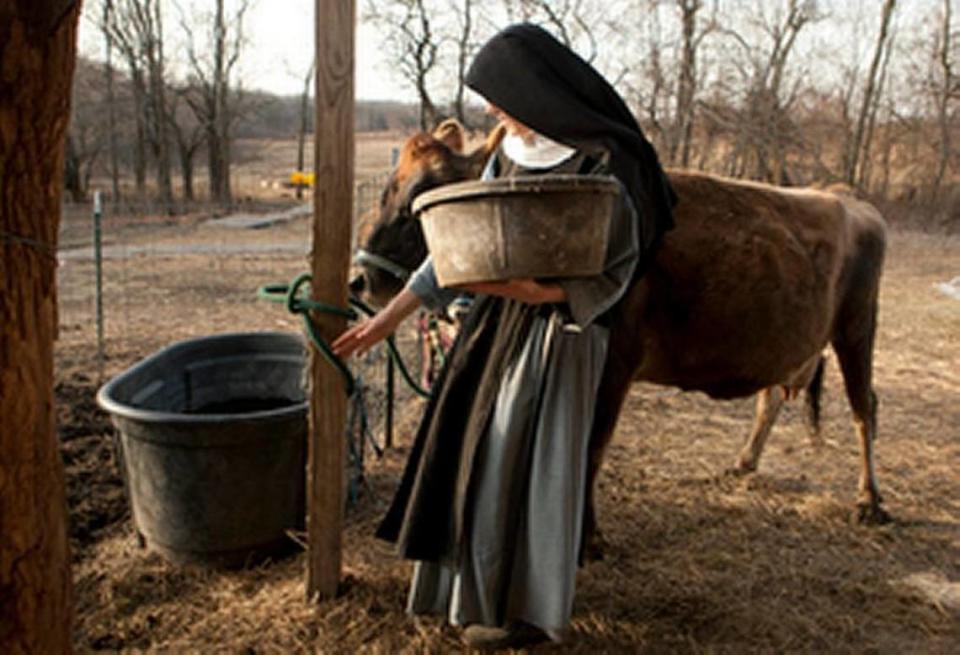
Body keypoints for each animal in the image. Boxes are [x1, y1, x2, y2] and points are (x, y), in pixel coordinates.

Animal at [356, 123, 888, 560]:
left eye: (421, 199)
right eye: (387, 191)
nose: (361, 280)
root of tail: (848, 198)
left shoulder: (616, 361)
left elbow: (593, 446)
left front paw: (588, 539)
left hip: (857, 326)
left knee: (864, 408)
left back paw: (869, 501)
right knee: (772, 397)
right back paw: (744, 463)